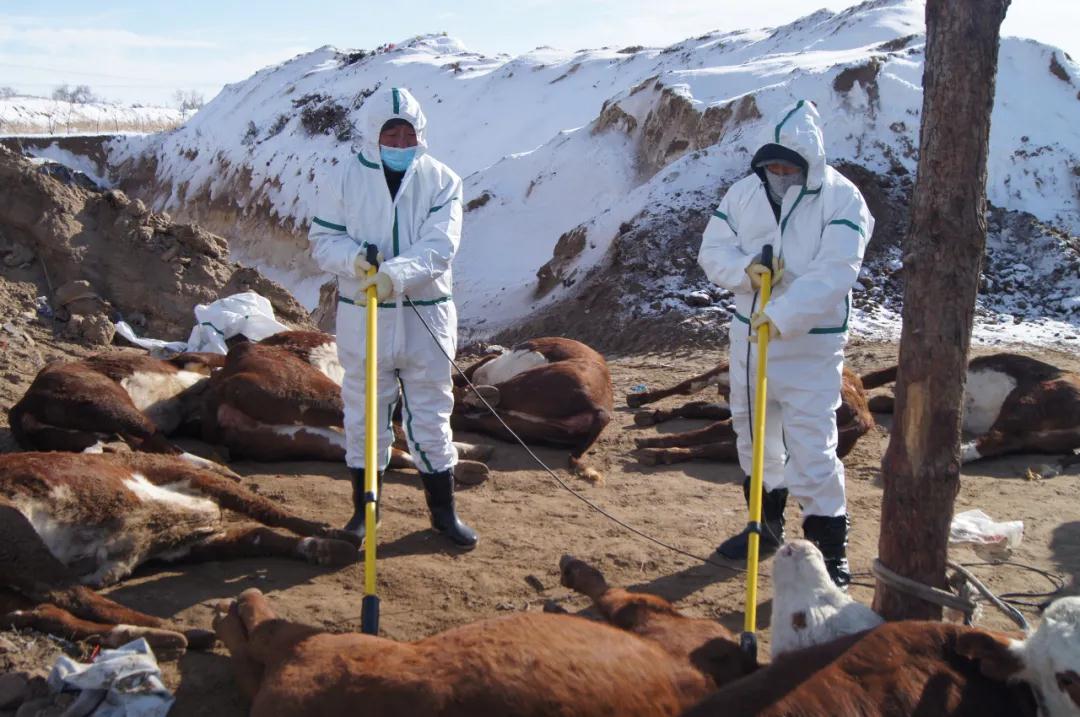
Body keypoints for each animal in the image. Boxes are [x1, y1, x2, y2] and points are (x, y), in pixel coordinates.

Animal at [0, 453, 362, 656]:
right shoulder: (189, 476)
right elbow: (268, 510)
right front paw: (340, 536)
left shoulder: (188, 544)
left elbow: (258, 535)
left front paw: (327, 549)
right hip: (18, 535)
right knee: (74, 596)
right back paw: (181, 631)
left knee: (44, 612)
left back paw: (163, 638)